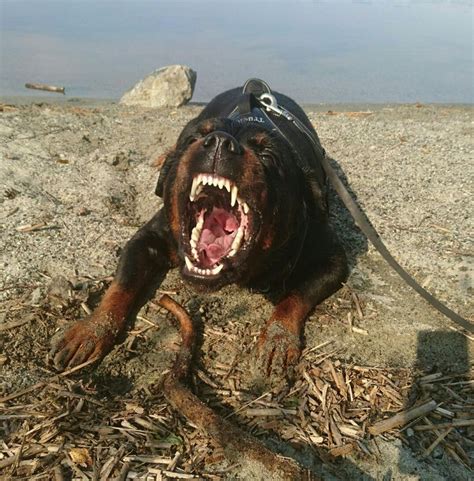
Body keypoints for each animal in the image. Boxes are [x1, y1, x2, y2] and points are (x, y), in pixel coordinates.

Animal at [50, 81, 348, 382]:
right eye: (195, 138)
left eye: (268, 155)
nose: (219, 142)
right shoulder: (147, 239)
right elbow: (121, 284)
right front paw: (92, 329)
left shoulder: (331, 259)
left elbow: (294, 296)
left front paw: (278, 337)